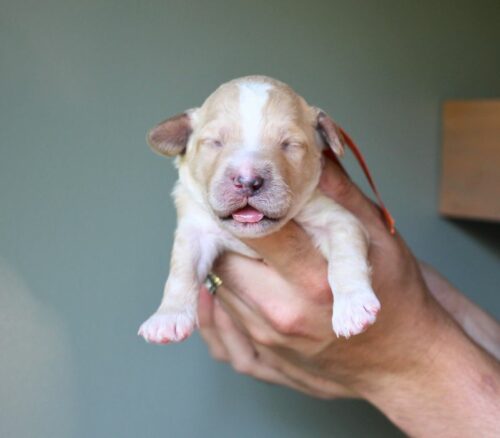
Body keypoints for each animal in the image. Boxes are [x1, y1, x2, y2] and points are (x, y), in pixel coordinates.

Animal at [139, 74, 380, 342]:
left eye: (290, 144)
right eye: (214, 142)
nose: (247, 181)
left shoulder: (339, 220)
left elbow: (345, 259)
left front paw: (353, 306)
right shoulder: (194, 229)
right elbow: (182, 271)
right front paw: (168, 317)